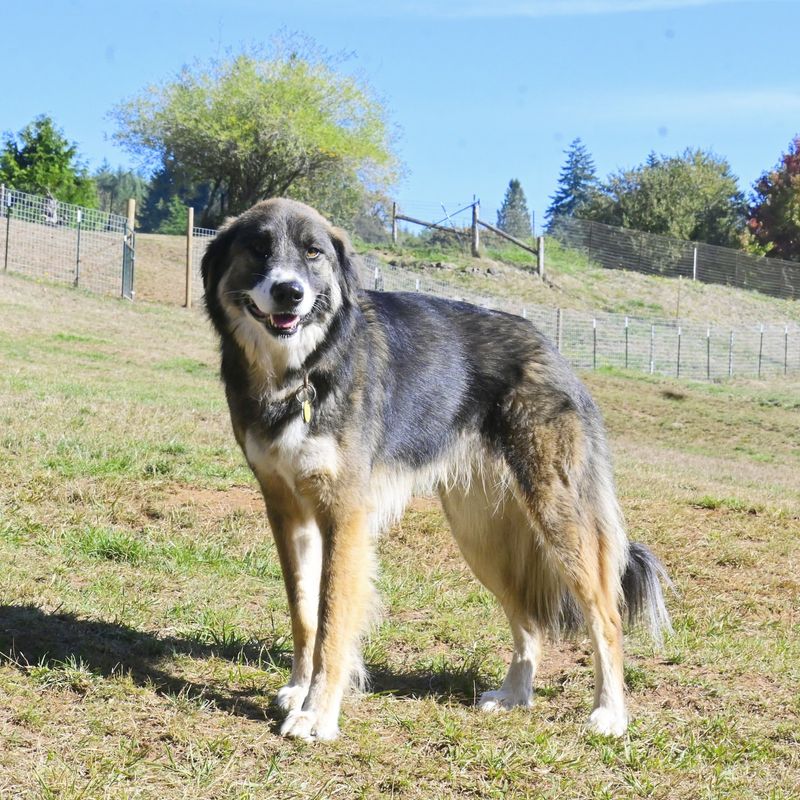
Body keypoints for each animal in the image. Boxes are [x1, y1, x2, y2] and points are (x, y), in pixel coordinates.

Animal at [200, 200, 668, 744]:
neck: (304, 373)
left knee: (606, 615)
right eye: (258, 249)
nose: (289, 292)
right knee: (528, 619)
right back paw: (515, 695)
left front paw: (317, 713)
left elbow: (333, 619)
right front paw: (299, 689)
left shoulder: (345, 516)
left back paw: (610, 713)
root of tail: (548, 348)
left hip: (558, 519)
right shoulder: (286, 511)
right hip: (480, 534)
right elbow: (304, 613)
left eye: (313, 253)